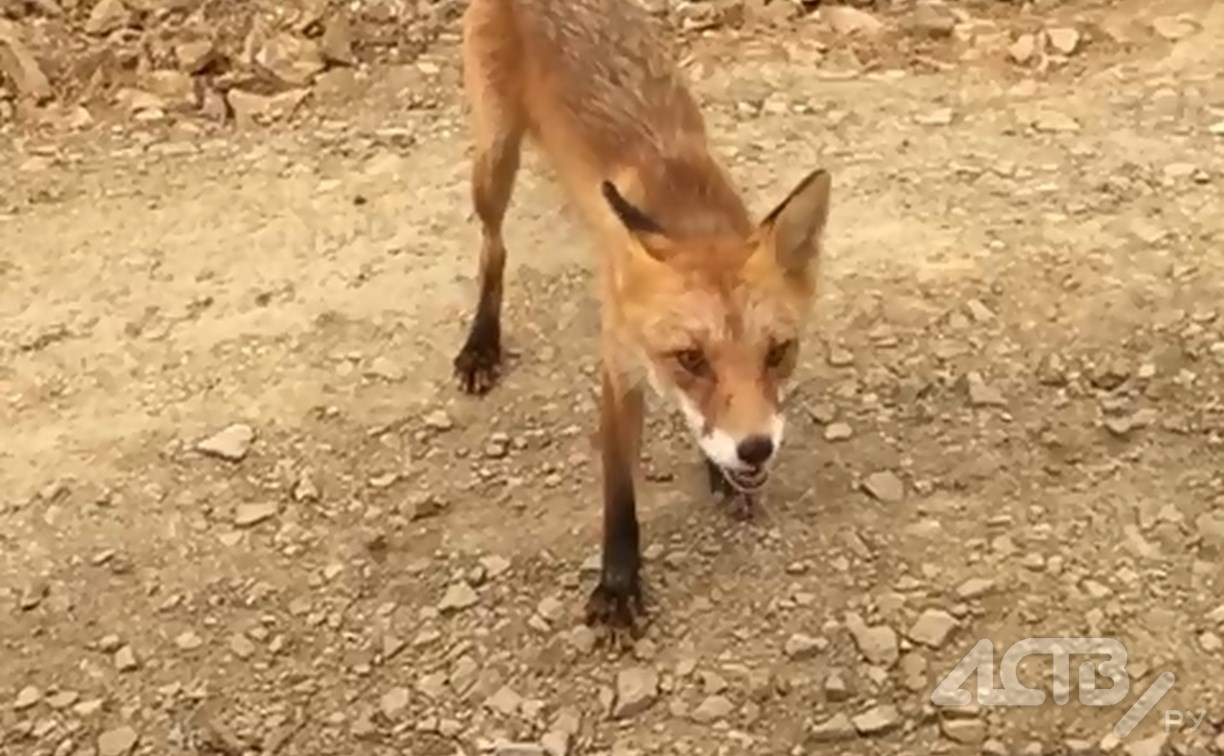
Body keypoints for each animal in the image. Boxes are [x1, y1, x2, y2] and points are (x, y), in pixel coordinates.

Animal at [450, 0, 832, 641]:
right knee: (493, 248)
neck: (688, 210)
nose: (756, 450)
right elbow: (619, 490)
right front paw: (619, 586)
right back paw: (482, 344)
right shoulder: (619, 366)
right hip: (494, 158)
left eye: (779, 352)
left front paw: (719, 470)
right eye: (690, 359)